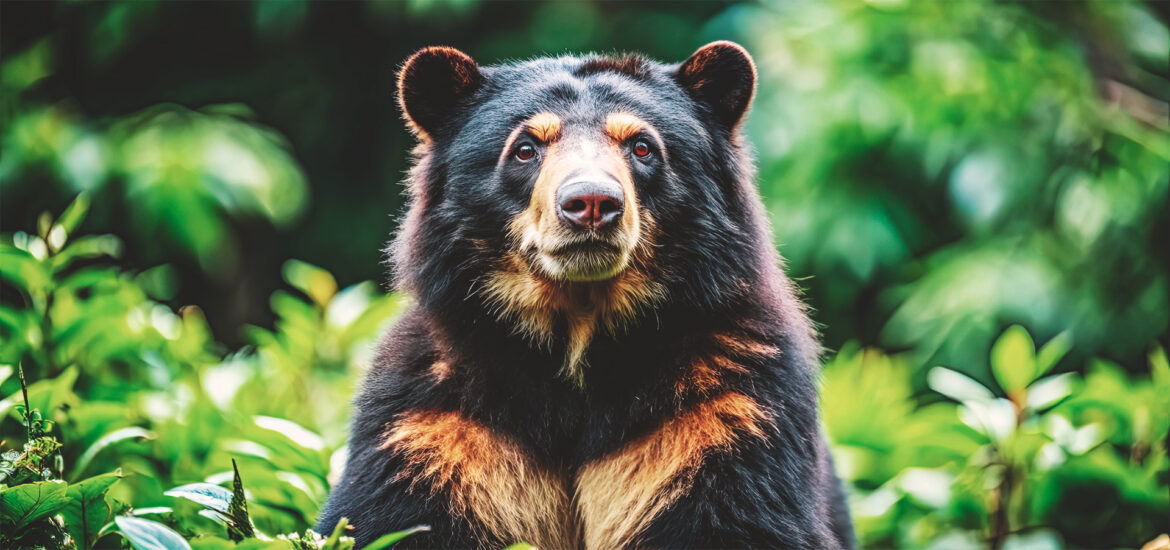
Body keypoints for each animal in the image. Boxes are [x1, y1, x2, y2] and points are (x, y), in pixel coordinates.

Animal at [315, 42, 856, 549]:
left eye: (642, 147)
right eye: (525, 148)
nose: (592, 202)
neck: (578, 333)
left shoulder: (724, 416)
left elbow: (741, 515)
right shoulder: (435, 429)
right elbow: (395, 517)